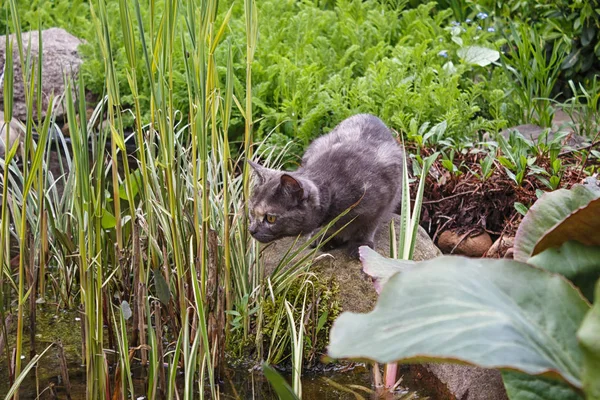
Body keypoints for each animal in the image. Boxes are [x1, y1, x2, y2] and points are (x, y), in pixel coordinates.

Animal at [248, 114, 404, 258]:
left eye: (270, 218)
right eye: (251, 212)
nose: (251, 230)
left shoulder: (382, 201)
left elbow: (368, 226)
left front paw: (360, 245)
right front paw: (323, 237)